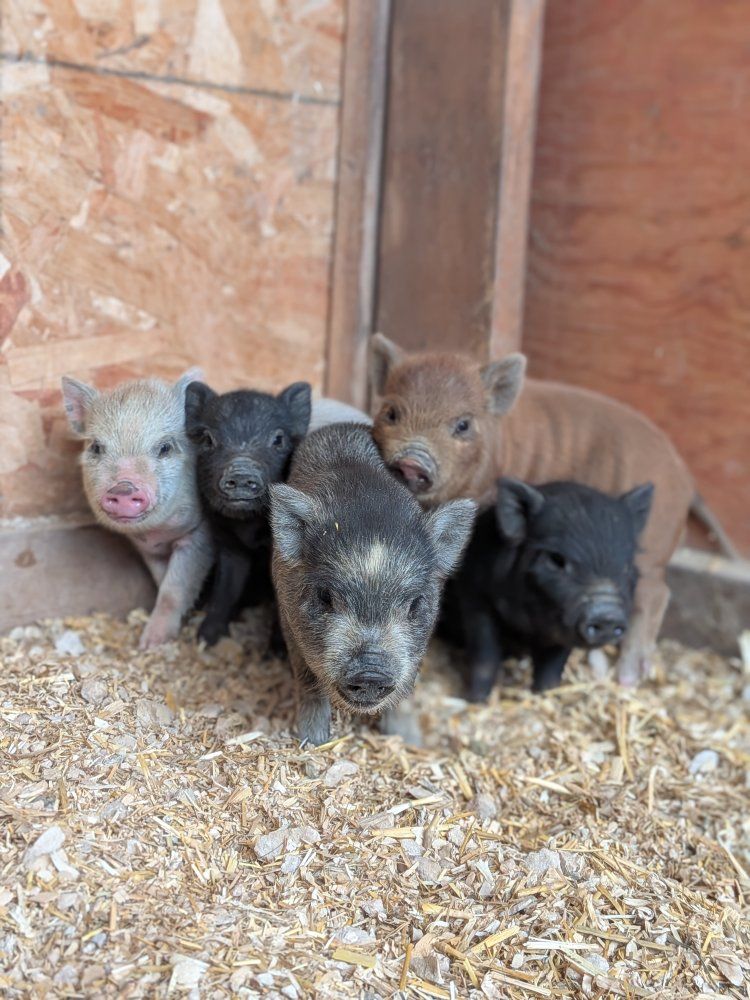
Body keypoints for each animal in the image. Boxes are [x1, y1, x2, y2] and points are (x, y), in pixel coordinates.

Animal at [61, 371, 212, 649]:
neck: (155, 534)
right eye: (96, 447)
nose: (123, 487)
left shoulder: (198, 533)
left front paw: (151, 644)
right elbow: (161, 581)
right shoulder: (147, 549)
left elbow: (174, 589)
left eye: (165, 448)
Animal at [269, 422, 476, 745]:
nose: (371, 672)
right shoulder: (288, 617)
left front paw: (408, 740)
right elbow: (308, 681)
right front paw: (313, 741)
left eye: (415, 604)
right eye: (325, 596)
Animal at [446, 477, 654, 700]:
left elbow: (552, 664)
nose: (607, 616)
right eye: (556, 560)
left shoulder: (563, 625)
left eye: (627, 566)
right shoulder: (474, 594)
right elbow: (485, 655)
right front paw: (473, 699)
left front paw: (546, 693)